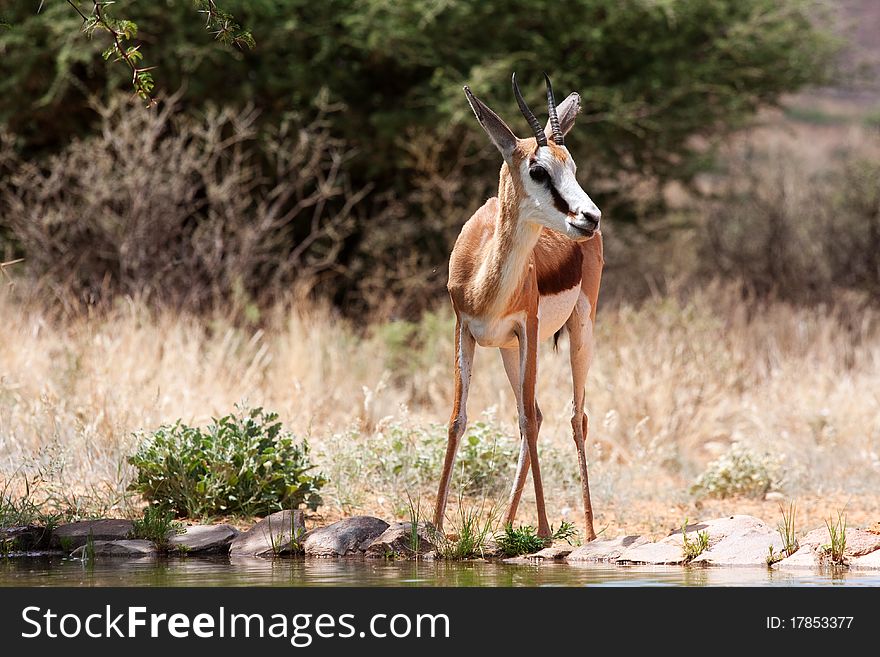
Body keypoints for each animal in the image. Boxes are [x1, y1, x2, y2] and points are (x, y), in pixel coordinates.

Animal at [434, 74, 604, 540]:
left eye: (573, 167)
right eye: (538, 170)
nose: (590, 217)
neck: (485, 286)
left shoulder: (528, 328)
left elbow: (526, 417)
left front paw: (544, 530)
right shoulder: (464, 330)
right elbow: (458, 419)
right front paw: (433, 528)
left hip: (579, 329)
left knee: (574, 417)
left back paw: (588, 532)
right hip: (508, 350)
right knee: (539, 414)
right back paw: (507, 524)